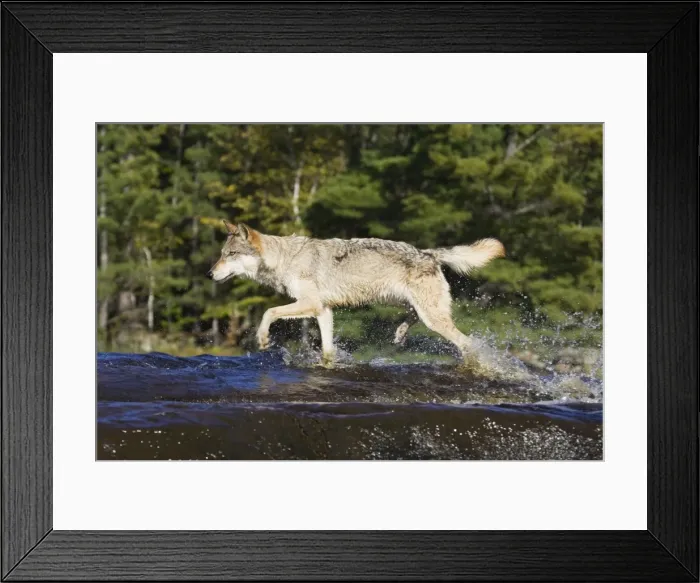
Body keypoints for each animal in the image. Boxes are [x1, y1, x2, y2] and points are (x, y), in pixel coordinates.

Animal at [207, 220, 505, 364]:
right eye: (221, 254)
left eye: (231, 255)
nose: (209, 274)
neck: (285, 259)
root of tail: (428, 252)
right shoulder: (324, 311)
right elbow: (327, 350)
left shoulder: (311, 303)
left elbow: (269, 311)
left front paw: (262, 339)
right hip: (409, 304)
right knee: (413, 317)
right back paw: (400, 333)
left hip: (433, 318)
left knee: (466, 343)